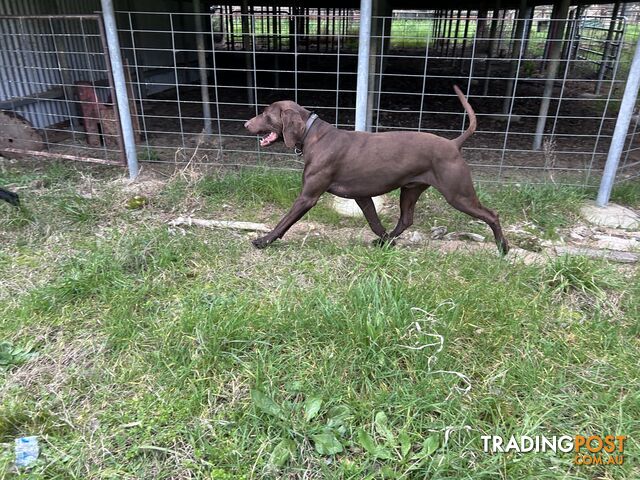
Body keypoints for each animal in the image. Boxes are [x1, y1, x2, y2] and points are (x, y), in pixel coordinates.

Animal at [242, 86, 508, 253]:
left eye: (265, 114)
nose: (245, 124)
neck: (312, 135)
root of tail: (454, 144)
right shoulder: (362, 196)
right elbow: (375, 223)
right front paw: (386, 241)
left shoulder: (308, 197)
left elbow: (284, 222)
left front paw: (263, 240)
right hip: (410, 190)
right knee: (406, 219)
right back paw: (387, 242)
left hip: (458, 194)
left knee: (492, 214)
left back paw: (503, 248)